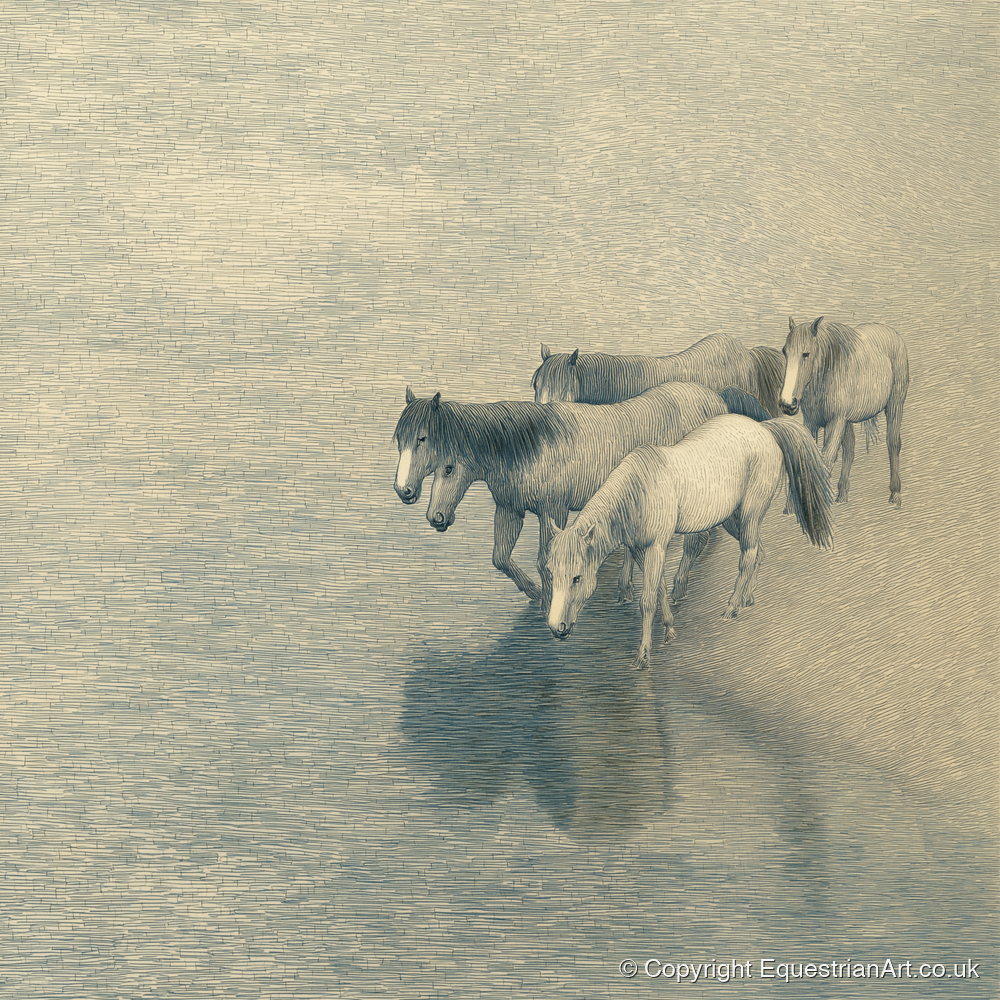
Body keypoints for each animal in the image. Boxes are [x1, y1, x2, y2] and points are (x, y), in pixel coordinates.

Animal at [394, 383, 765, 609]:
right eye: (399, 439)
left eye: (424, 440)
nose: (405, 492)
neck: (530, 445)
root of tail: (715, 398)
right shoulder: (511, 509)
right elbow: (501, 558)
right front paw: (535, 595)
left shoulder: (553, 511)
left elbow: (544, 559)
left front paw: (548, 600)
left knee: (697, 541)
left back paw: (678, 590)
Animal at [544, 414, 834, 670]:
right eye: (551, 573)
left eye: (577, 578)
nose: (557, 629)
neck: (638, 492)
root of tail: (764, 428)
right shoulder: (640, 550)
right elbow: (659, 589)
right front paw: (669, 628)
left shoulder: (656, 547)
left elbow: (647, 600)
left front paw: (643, 654)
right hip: (732, 519)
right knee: (758, 552)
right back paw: (747, 598)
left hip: (749, 514)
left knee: (748, 556)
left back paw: (732, 607)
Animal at [779, 317, 909, 506]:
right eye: (785, 352)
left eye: (806, 354)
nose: (787, 403)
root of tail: (892, 333)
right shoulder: (811, 422)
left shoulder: (835, 422)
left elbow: (826, 459)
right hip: (847, 421)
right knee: (849, 450)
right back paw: (842, 496)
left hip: (894, 405)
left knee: (893, 443)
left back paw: (895, 495)